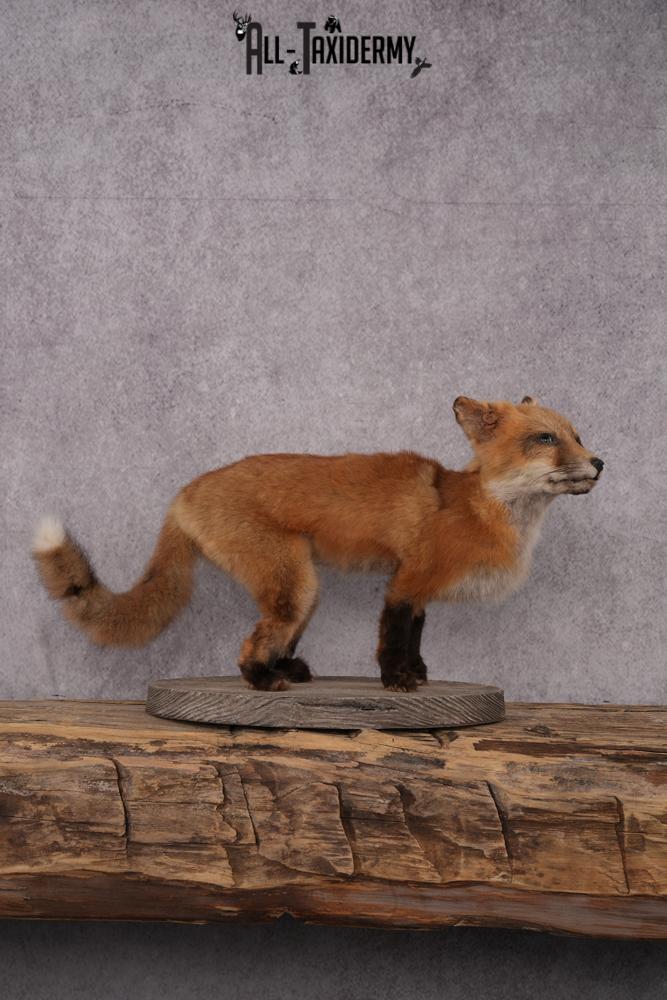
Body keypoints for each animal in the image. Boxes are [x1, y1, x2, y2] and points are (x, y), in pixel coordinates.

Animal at [32, 395, 603, 692]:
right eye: (546, 439)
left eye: (577, 436)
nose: (600, 463)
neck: (477, 506)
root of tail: (187, 491)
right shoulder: (406, 581)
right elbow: (393, 639)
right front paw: (397, 681)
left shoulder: (418, 590)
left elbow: (417, 637)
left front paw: (418, 674)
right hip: (296, 586)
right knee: (249, 645)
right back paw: (263, 680)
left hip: (303, 588)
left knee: (277, 639)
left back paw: (286, 669)